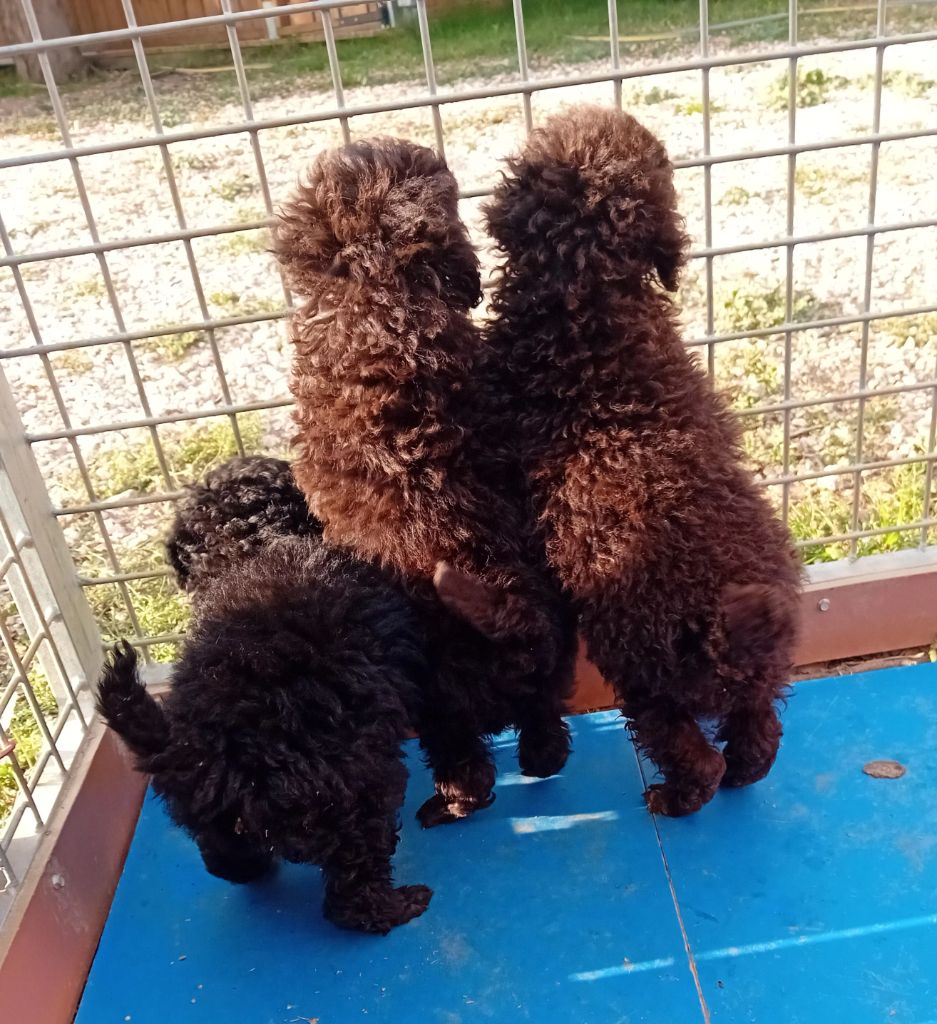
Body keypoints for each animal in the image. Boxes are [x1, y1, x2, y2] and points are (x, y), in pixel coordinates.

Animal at [95, 458, 432, 937]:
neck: (248, 545)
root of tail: (199, 749)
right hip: (358, 789)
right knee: (353, 888)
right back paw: (398, 905)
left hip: (210, 818)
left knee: (225, 860)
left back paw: (249, 868)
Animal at [272, 138, 577, 823]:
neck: (378, 287)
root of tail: (510, 613)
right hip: (548, 666)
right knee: (546, 731)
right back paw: (538, 759)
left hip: (438, 704)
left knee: (468, 764)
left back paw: (445, 807)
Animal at [487, 105, 802, 815]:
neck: (591, 297)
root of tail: (722, 626)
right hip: (747, 679)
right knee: (759, 732)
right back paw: (747, 770)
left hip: (643, 670)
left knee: (689, 749)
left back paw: (675, 797)